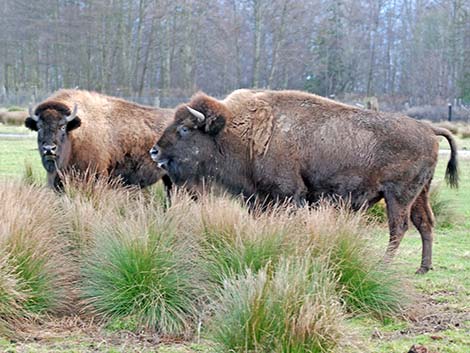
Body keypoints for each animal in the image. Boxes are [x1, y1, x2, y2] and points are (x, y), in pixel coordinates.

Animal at [151, 88, 458, 272]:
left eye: (185, 129)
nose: (154, 151)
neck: (242, 131)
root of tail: (428, 129)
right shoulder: (259, 199)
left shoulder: (288, 195)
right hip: (419, 194)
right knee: (425, 223)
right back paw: (423, 268)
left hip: (398, 196)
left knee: (399, 228)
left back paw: (383, 265)